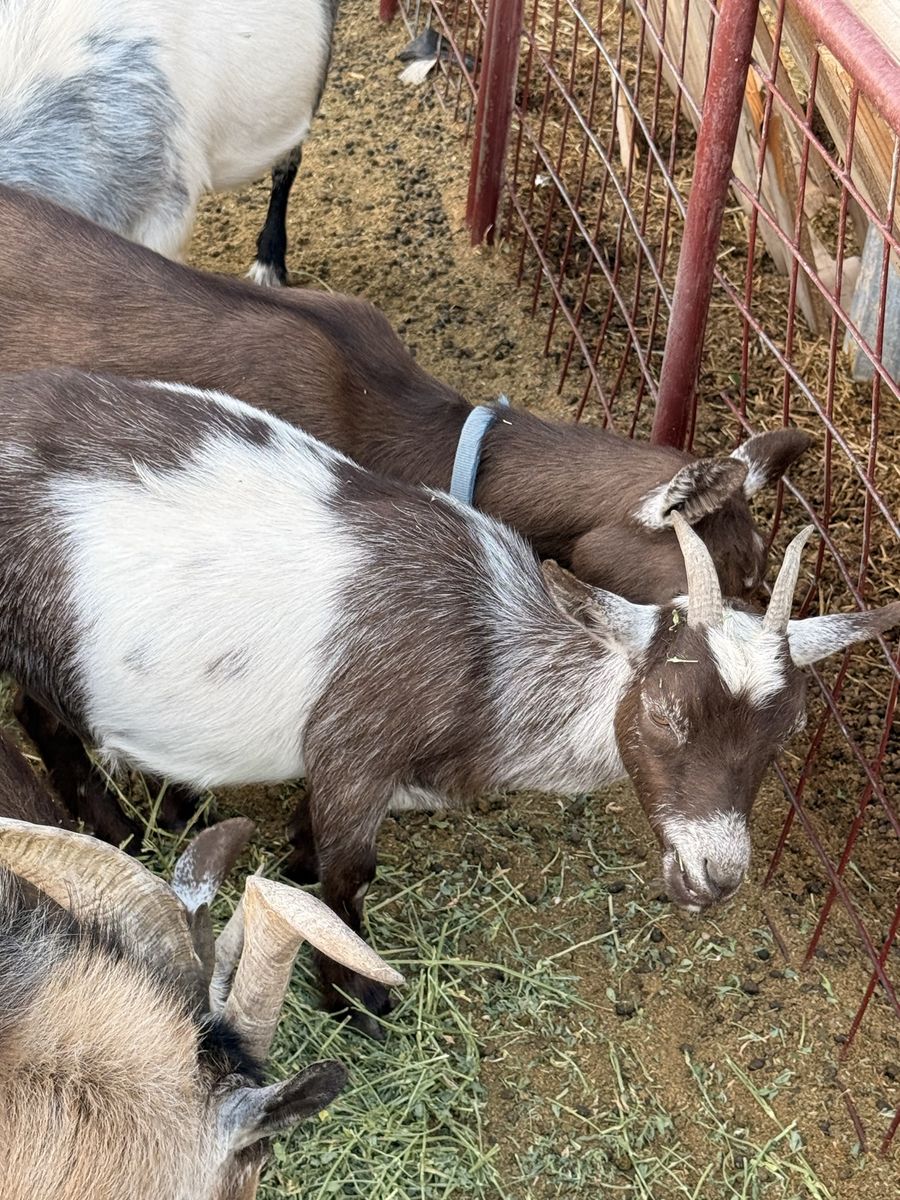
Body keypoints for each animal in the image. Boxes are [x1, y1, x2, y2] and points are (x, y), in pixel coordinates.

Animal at [0, 368, 894, 1038]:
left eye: (788, 733)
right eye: (666, 709)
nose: (716, 875)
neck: (488, 659)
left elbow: (317, 848)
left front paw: (294, 860)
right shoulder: (355, 748)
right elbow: (349, 874)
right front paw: (356, 999)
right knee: (43, 721)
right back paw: (113, 826)